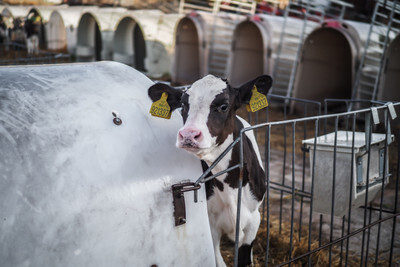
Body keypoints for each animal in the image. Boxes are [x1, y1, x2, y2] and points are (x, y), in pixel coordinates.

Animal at [148, 74, 274, 267]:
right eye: (184, 104)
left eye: (223, 106)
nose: (188, 135)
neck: (230, 187)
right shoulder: (211, 223)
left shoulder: (254, 219)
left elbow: (245, 259)